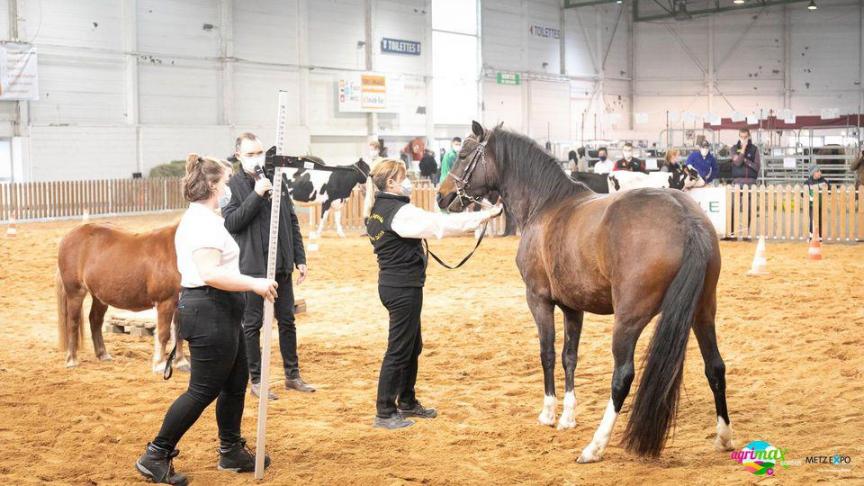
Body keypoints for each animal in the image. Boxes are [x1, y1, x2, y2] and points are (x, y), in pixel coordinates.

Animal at [56, 222, 188, 374]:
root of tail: (69, 235)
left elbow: (179, 332)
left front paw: (181, 362)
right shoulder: (165, 302)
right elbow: (163, 334)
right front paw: (160, 365)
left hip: (99, 297)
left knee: (95, 320)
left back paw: (103, 354)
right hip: (75, 292)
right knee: (73, 323)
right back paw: (71, 360)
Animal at [438, 122, 728, 464]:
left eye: (464, 155)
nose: (442, 196)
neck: (545, 204)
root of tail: (687, 220)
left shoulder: (538, 299)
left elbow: (547, 354)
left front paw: (549, 414)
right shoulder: (572, 307)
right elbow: (569, 357)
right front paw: (567, 417)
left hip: (629, 319)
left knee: (622, 377)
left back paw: (595, 446)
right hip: (702, 311)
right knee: (715, 367)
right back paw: (724, 437)